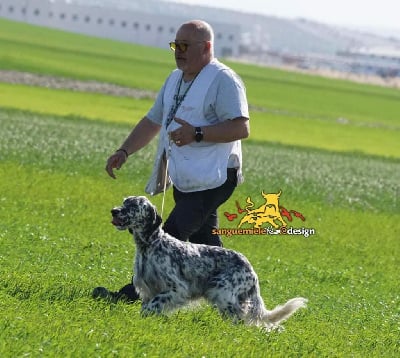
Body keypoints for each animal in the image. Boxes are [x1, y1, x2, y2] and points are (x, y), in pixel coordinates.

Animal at [111, 196, 308, 330]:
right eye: (124, 202)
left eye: (134, 206)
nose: (114, 210)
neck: (151, 244)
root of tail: (250, 269)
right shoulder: (148, 288)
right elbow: (149, 305)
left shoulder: (177, 288)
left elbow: (152, 306)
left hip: (223, 293)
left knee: (241, 321)